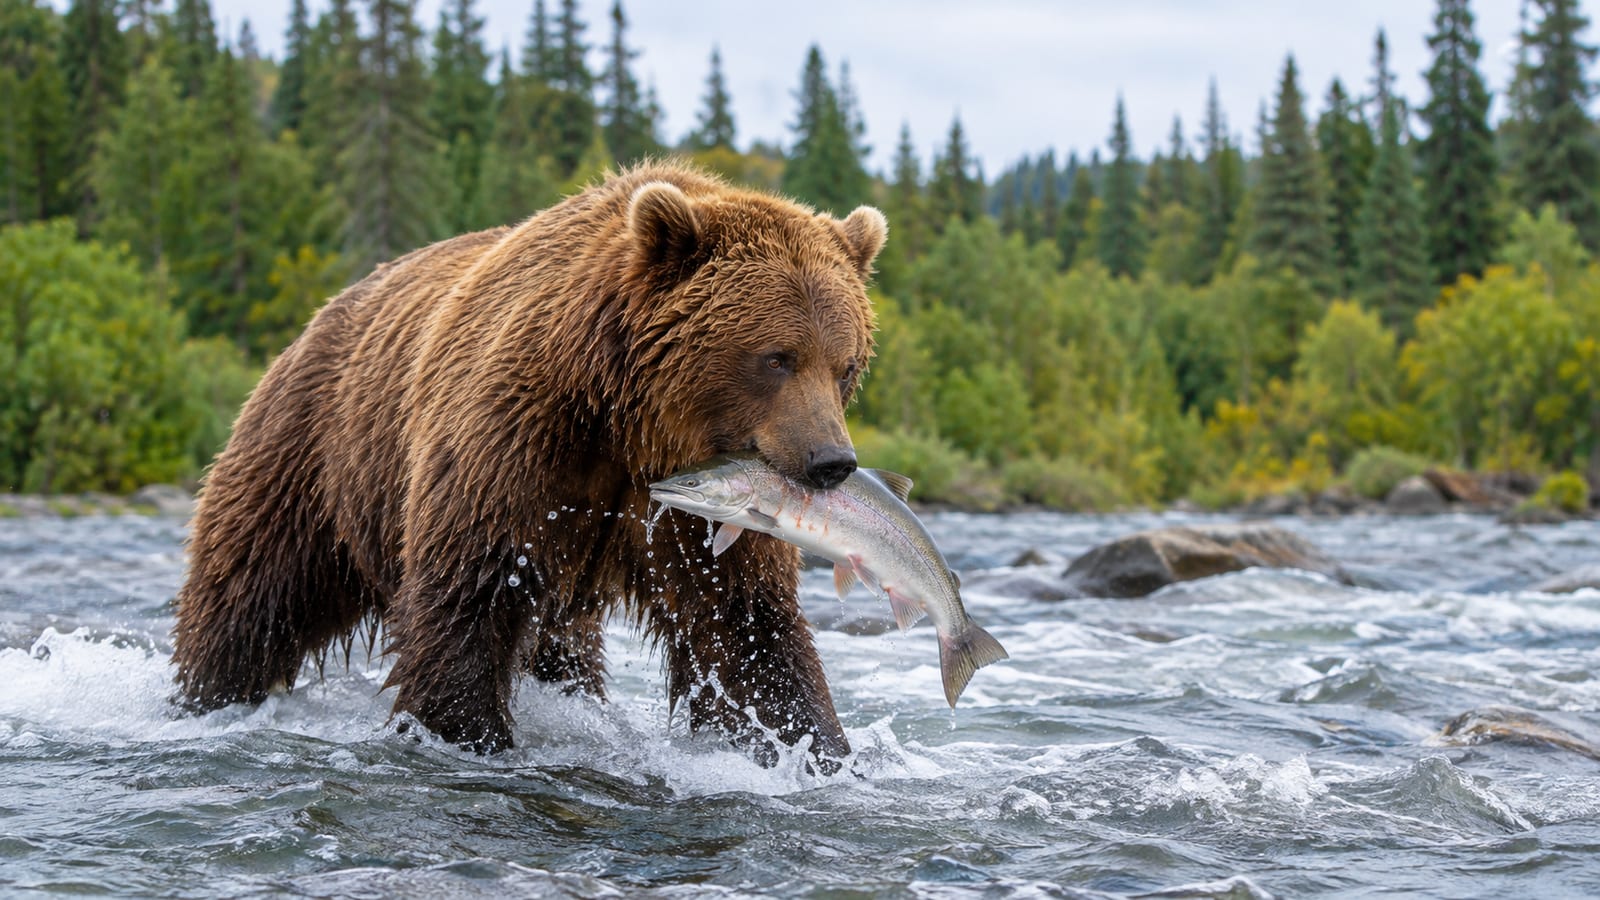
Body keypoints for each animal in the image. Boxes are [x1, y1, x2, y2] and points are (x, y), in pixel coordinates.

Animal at [170, 162, 887, 769]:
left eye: (845, 364)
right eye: (777, 358)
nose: (831, 461)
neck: (633, 419)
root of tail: (319, 318)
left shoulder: (695, 514)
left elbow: (746, 627)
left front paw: (817, 752)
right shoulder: (520, 439)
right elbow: (470, 588)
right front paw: (463, 733)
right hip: (314, 457)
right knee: (251, 593)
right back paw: (203, 697)